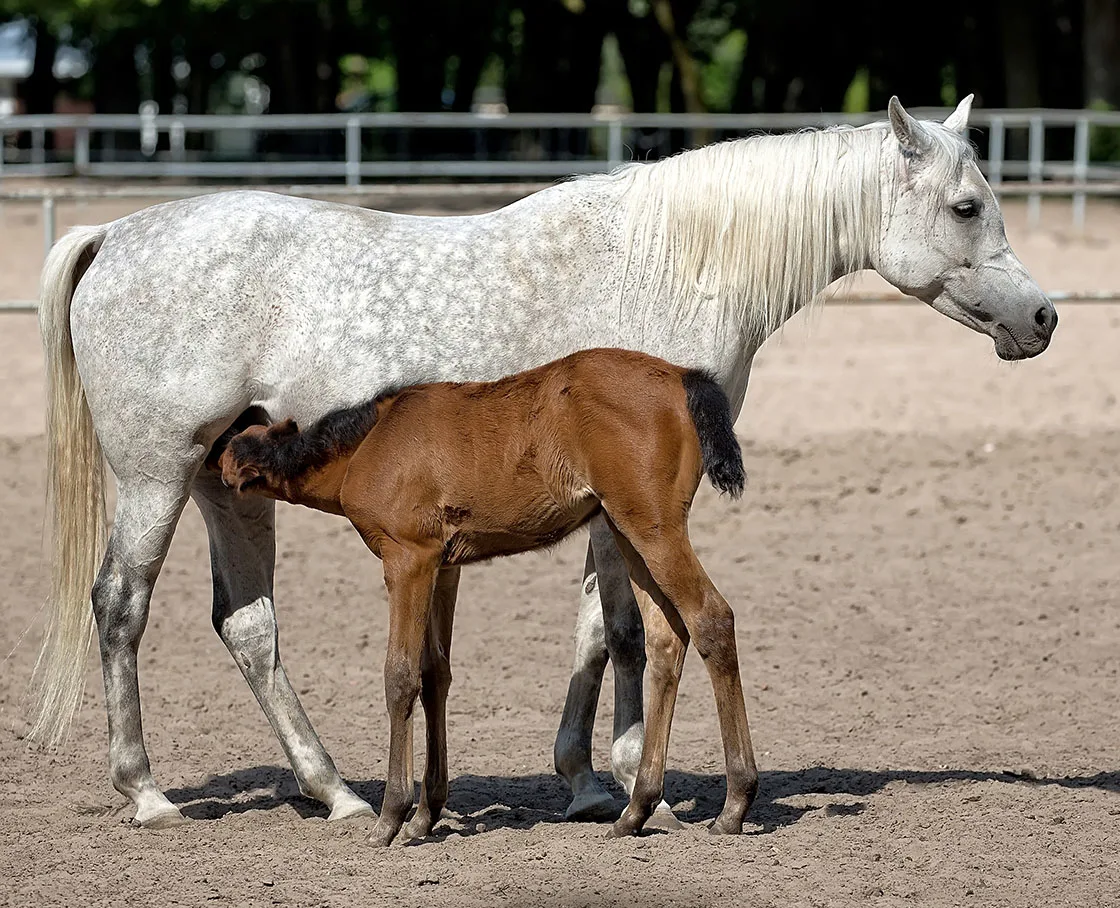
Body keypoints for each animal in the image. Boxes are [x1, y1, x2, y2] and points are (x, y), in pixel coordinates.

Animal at [214, 347, 749, 845]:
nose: (215, 464)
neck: (371, 441)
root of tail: (683, 377)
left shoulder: (406, 560)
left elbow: (400, 675)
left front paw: (391, 817)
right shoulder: (442, 566)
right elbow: (435, 673)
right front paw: (425, 815)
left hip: (653, 529)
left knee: (712, 618)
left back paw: (735, 804)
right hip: (628, 531)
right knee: (667, 640)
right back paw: (637, 809)